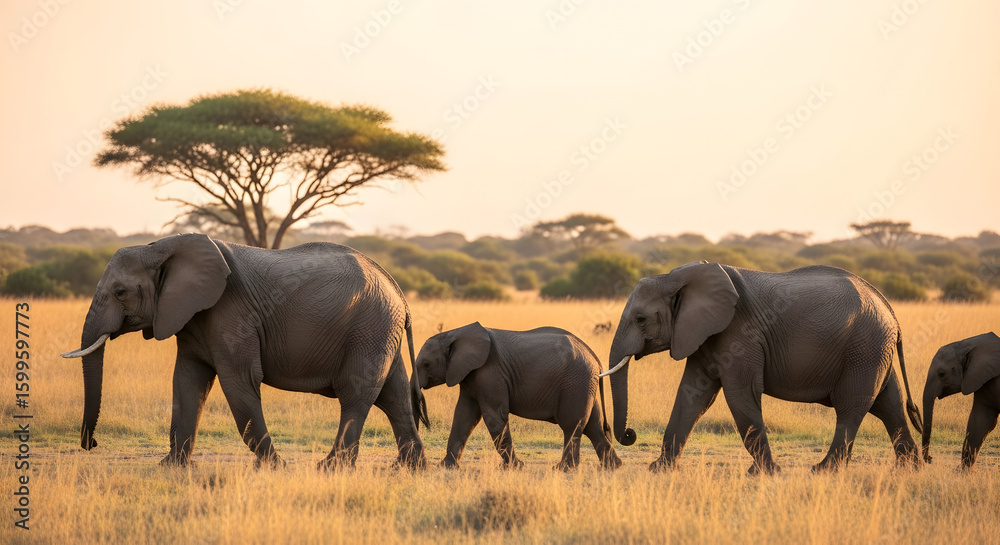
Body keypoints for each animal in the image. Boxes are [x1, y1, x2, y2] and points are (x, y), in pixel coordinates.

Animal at [61, 233, 429, 469]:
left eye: (120, 292)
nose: (91, 444)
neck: (161, 246)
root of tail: (398, 291)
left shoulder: (230, 312)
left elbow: (240, 382)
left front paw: (276, 467)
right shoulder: (191, 317)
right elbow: (187, 383)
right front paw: (170, 467)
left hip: (369, 328)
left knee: (356, 393)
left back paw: (330, 468)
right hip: (380, 331)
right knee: (394, 395)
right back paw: (410, 468)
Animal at [413, 322, 622, 470]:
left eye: (426, 364)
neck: (455, 333)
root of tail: (595, 359)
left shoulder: (489, 373)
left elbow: (494, 418)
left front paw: (515, 467)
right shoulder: (469, 375)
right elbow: (464, 416)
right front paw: (448, 466)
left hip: (576, 383)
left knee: (572, 424)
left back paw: (563, 469)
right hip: (584, 385)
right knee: (592, 425)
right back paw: (612, 467)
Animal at [602, 261, 924, 474]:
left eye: (641, 319)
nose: (630, 434)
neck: (675, 276)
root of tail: (889, 308)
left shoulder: (739, 333)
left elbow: (740, 395)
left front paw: (765, 473)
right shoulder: (702, 334)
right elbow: (692, 395)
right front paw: (659, 469)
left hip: (864, 348)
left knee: (852, 405)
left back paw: (822, 470)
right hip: (874, 350)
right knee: (889, 404)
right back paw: (910, 468)